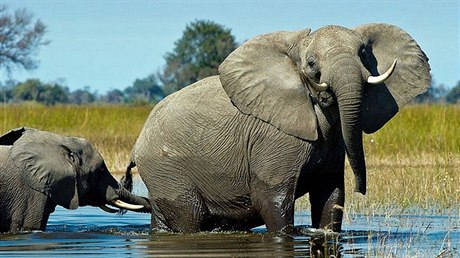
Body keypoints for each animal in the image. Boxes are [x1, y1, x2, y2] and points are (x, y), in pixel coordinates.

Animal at [122, 24, 432, 233]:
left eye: (365, 54)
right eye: (311, 64)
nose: (362, 190)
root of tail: (137, 145)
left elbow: (330, 196)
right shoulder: (273, 138)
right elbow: (272, 199)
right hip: (166, 170)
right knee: (190, 216)